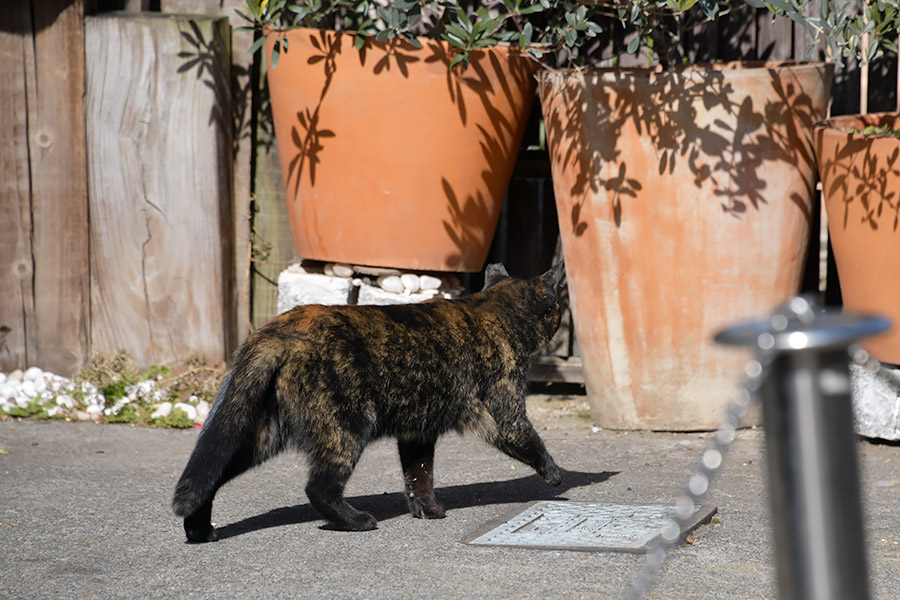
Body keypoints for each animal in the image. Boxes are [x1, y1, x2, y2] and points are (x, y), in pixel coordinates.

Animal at [173, 262, 568, 544]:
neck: (492, 310)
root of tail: (280, 328)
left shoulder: (417, 433)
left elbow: (419, 475)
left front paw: (427, 510)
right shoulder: (505, 413)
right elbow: (530, 440)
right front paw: (555, 475)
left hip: (260, 434)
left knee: (209, 475)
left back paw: (199, 531)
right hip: (346, 427)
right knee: (319, 488)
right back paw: (356, 521)